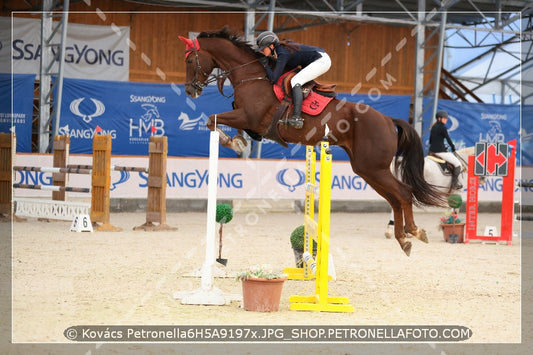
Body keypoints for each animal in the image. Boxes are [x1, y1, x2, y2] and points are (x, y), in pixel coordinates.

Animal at [179, 27, 444, 256]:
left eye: (190, 62)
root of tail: (389, 120)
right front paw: (238, 141)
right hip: (367, 169)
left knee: (403, 193)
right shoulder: (247, 120)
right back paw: (403, 239)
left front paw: (231, 141)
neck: (251, 76)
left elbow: (212, 119)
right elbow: (224, 123)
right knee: (394, 199)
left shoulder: (248, 116)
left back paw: (414, 232)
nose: (191, 91)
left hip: (374, 168)